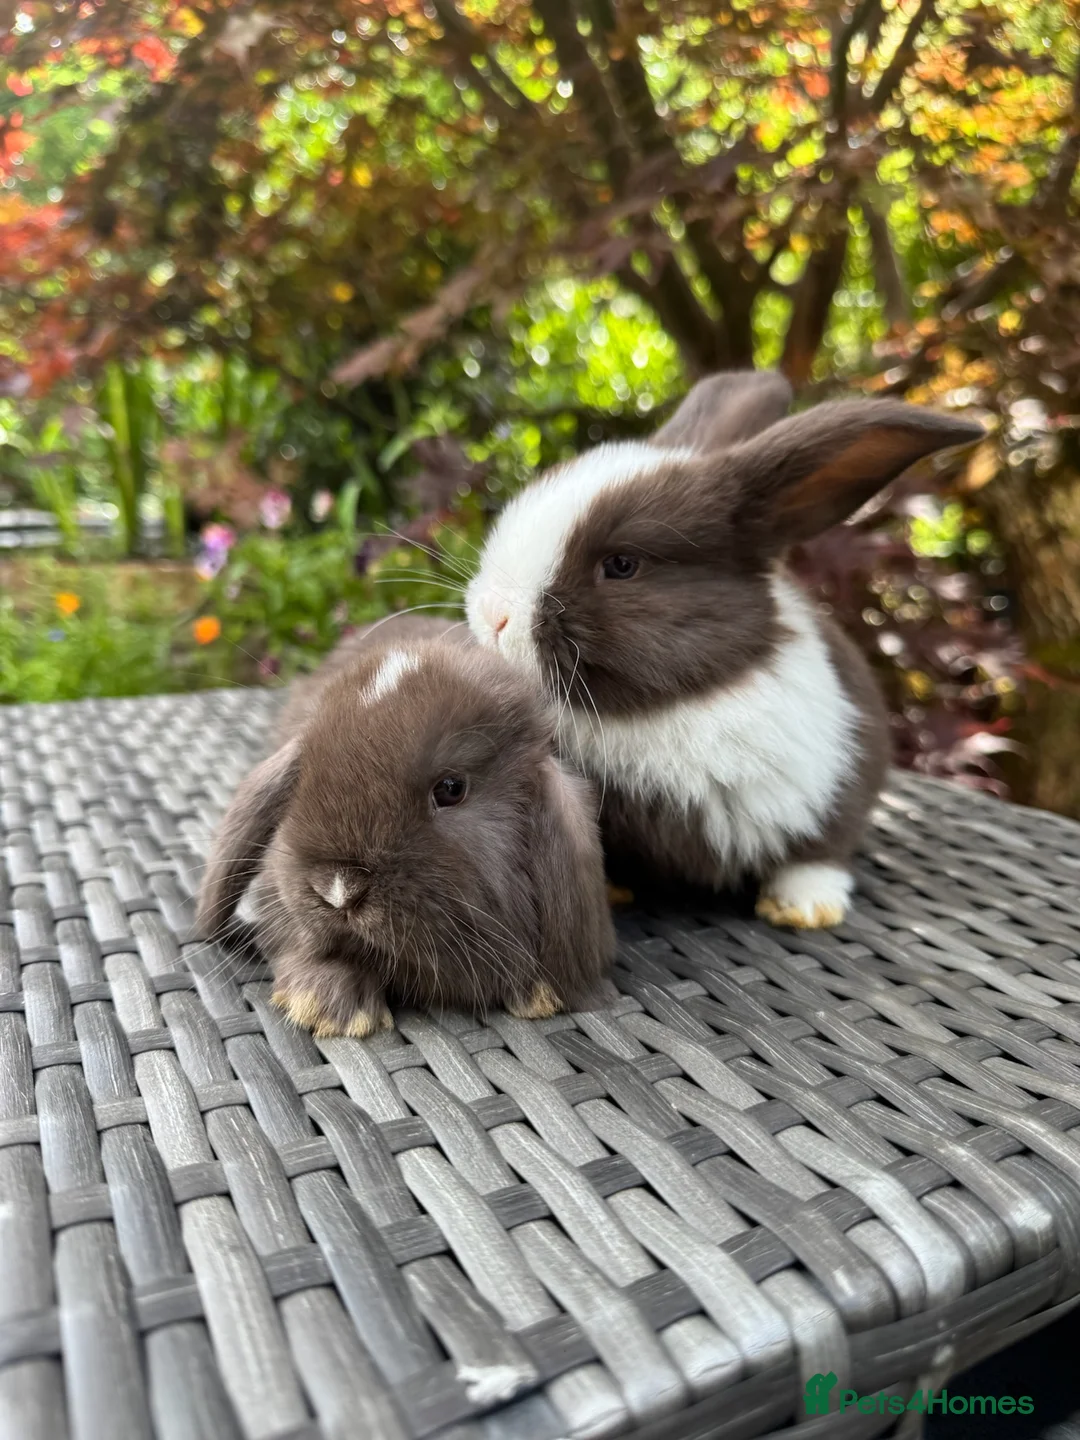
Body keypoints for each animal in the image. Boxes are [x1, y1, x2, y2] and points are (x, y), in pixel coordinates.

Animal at [465, 372, 982, 930]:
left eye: (623, 565)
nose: (491, 614)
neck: (674, 706)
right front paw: (607, 891)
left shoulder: (842, 785)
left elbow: (819, 853)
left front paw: (804, 910)